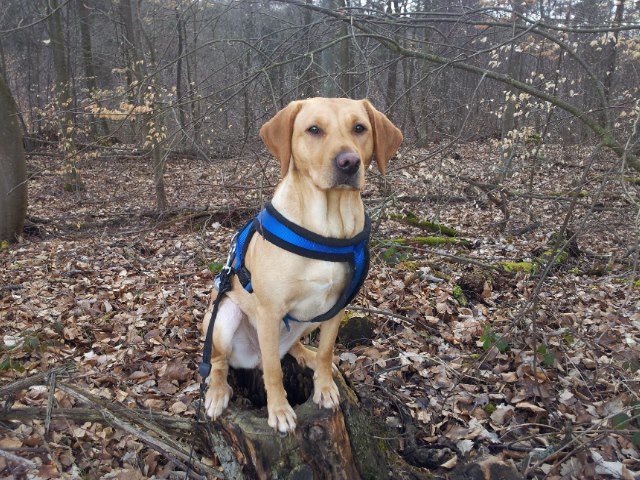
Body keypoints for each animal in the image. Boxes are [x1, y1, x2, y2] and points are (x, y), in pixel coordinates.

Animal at [202, 96, 402, 432]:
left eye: (359, 128)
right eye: (314, 130)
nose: (349, 162)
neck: (326, 228)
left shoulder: (337, 306)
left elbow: (326, 351)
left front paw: (324, 387)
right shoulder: (269, 312)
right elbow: (273, 371)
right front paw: (279, 410)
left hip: (307, 319)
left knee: (291, 348)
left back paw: (305, 354)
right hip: (223, 317)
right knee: (220, 362)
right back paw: (217, 392)